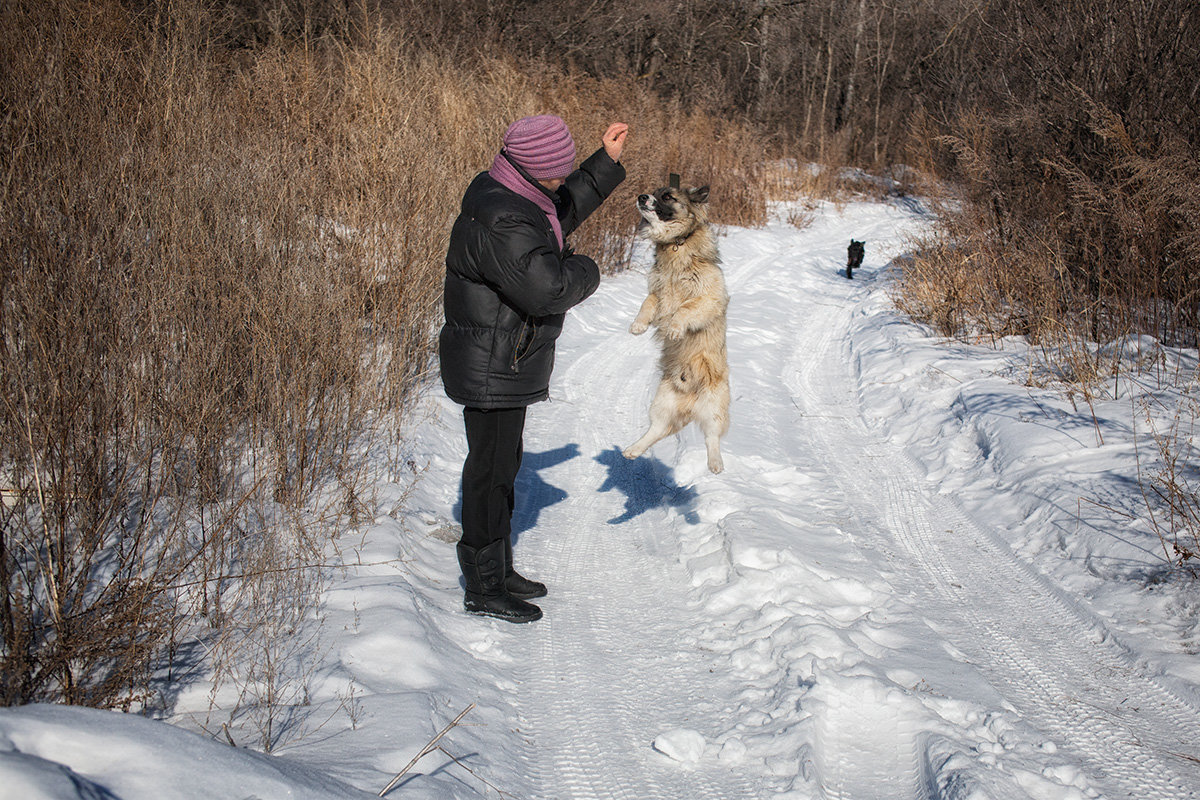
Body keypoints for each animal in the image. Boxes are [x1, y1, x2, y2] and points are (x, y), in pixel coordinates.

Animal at [619, 183, 729, 472]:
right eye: (652, 191)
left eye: (667, 196)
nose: (641, 197)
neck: (675, 244)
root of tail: (690, 405)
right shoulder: (658, 292)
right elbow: (648, 302)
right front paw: (638, 325)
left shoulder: (708, 296)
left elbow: (684, 309)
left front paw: (675, 329)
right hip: (662, 401)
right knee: (657, 429)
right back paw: (633, 450)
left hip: (715, 406)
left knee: (712, 436)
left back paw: (715, 463)